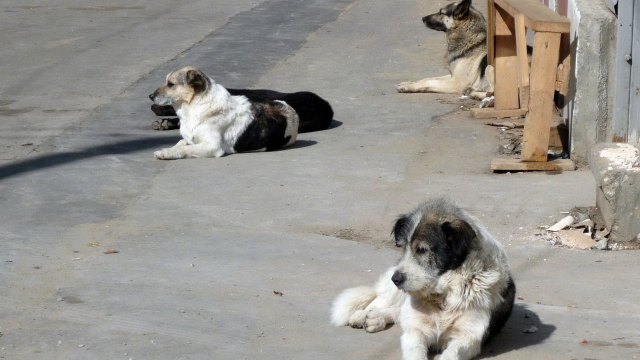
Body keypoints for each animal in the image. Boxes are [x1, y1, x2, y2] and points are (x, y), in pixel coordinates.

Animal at [147, 65, 332, 160]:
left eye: (170, 84)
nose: (150, 96)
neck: (196, 107)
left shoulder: (212, 146)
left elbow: (185, 149)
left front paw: (167, 152)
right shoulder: (189, 139)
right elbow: (180, 143)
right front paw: (169, 148)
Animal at [330, 198, 516, 358]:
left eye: (422, 249)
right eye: (403, 247)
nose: (396, 279)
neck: (443, 296)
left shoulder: (469, 337)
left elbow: (451, 354)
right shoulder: (415, 332)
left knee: (397, 312)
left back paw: (375, 319)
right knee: (381, 302)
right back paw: (364, 315)